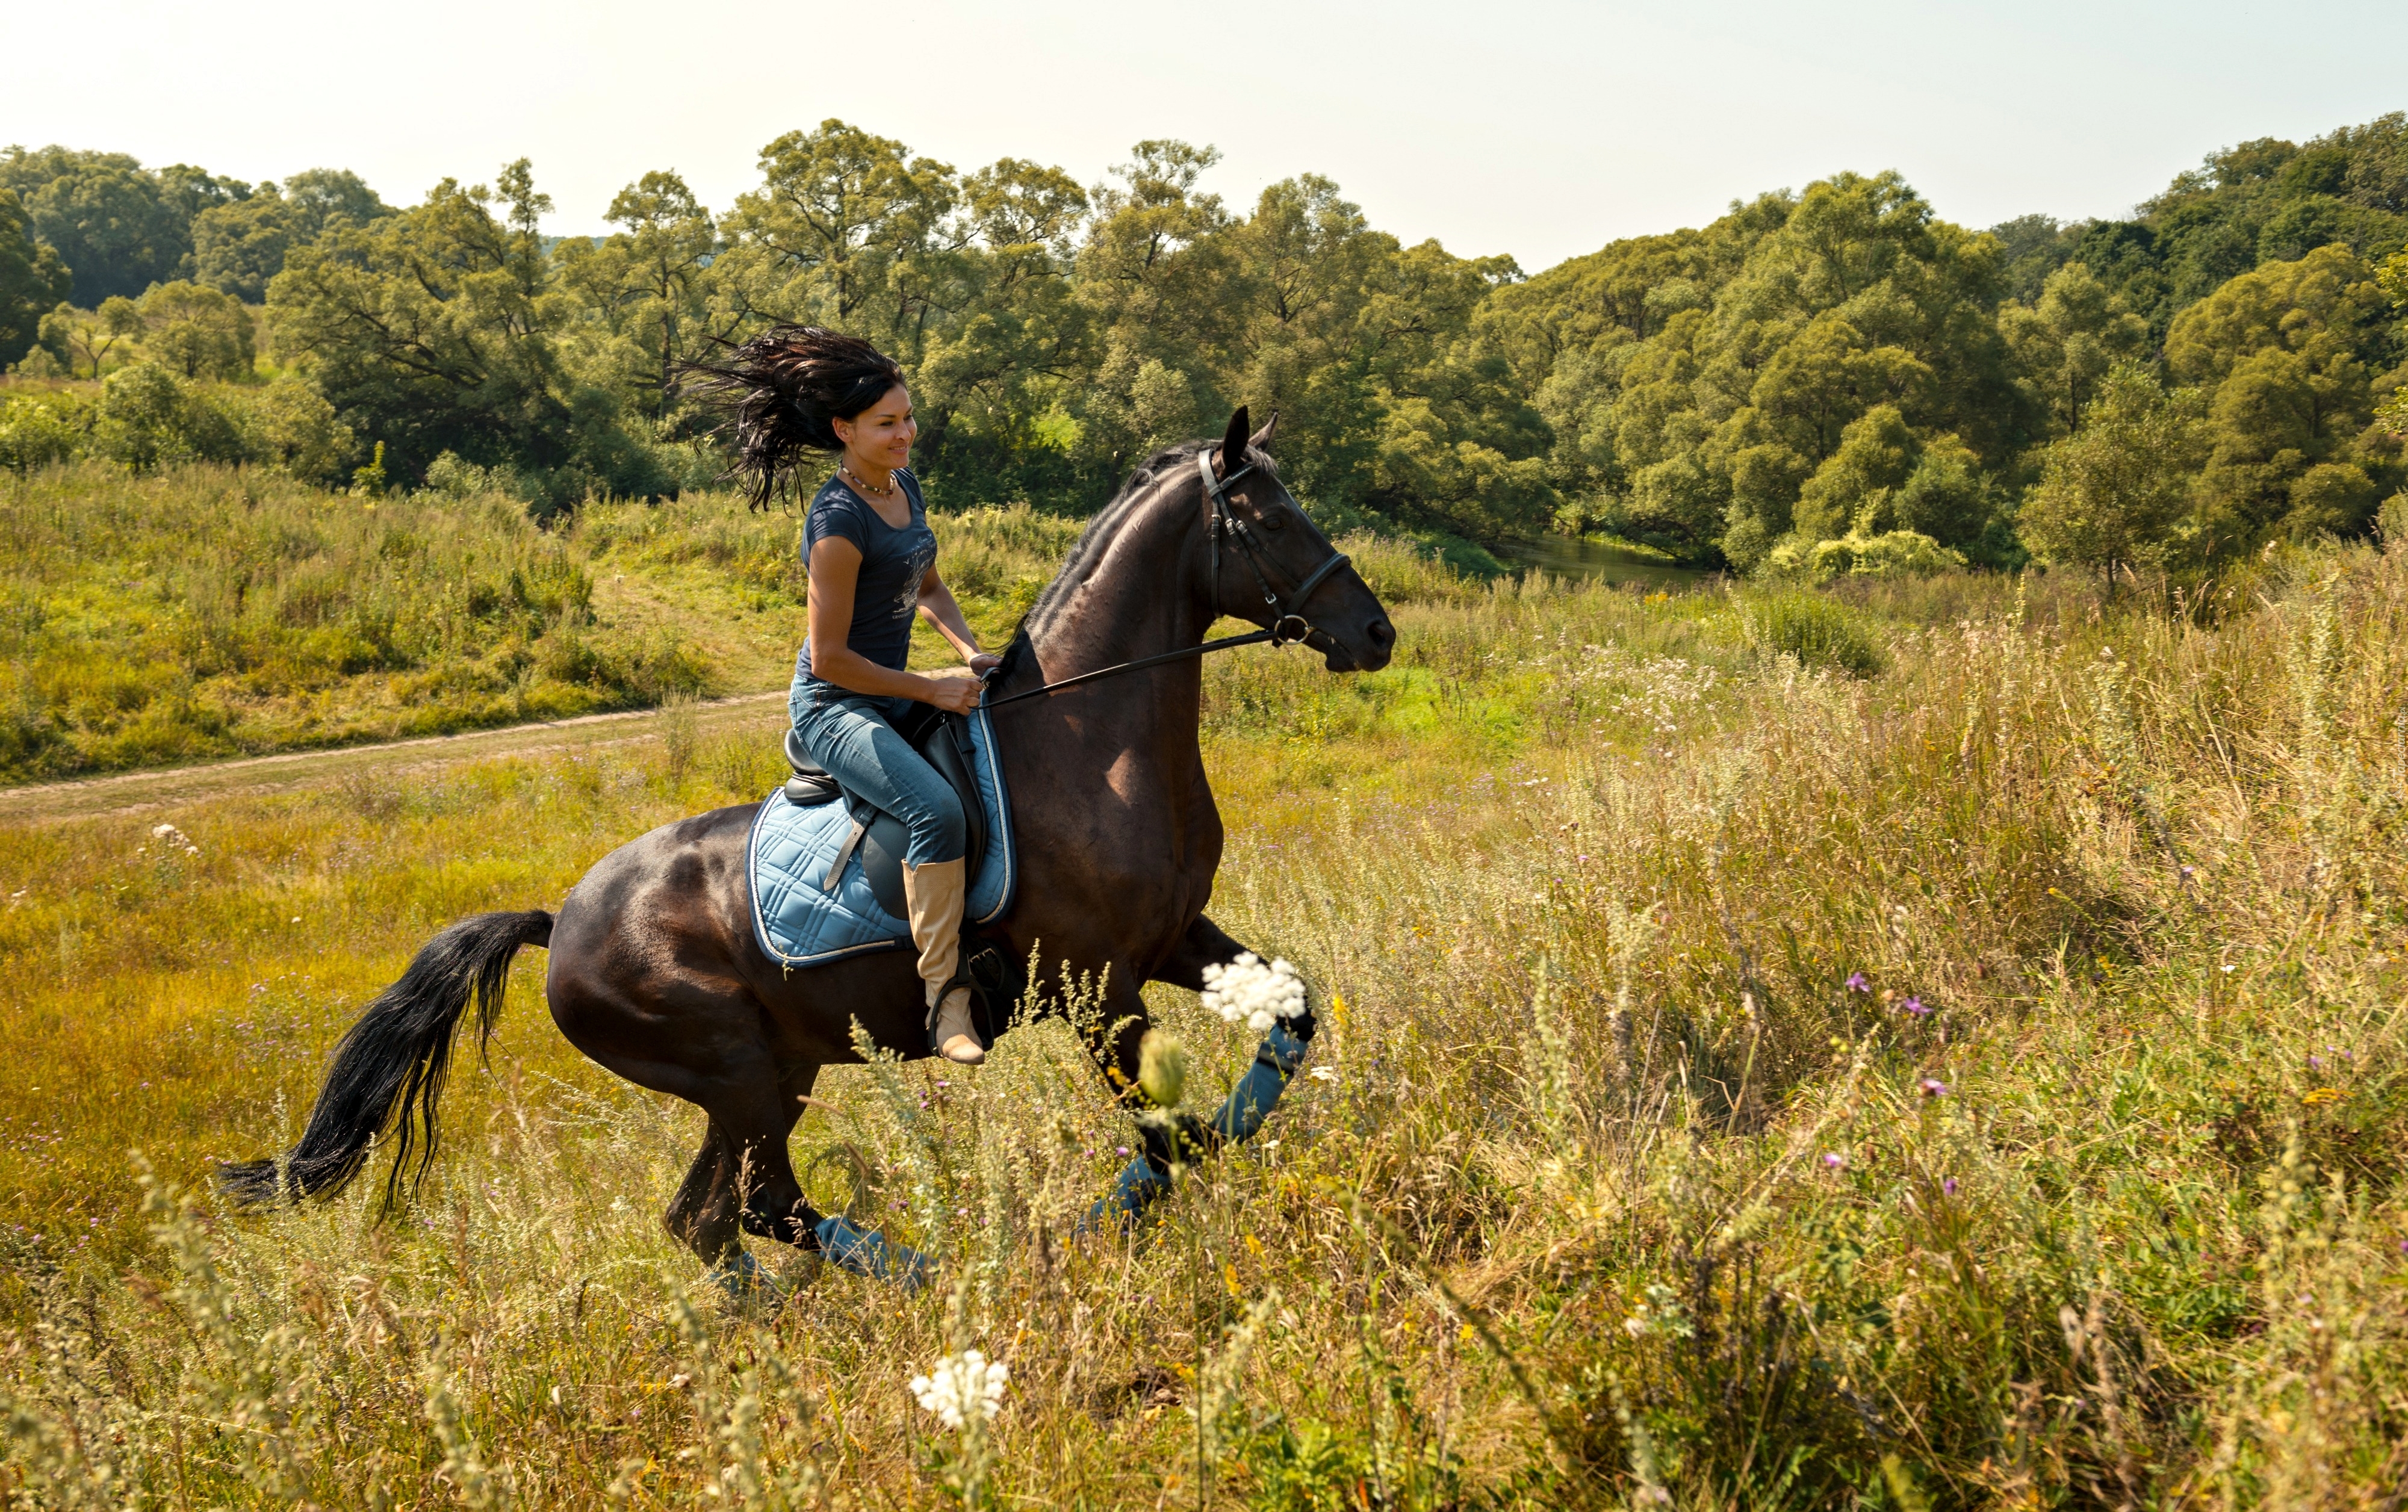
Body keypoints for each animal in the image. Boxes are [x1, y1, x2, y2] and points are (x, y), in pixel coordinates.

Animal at [230, 404, 1397, 1290]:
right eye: (1270, 516)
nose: (1377, 633)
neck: (1088, 732)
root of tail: (559, 926)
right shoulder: (1096, 983)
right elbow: (1162, 1133)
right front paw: (1113, 1218)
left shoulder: (1173, 938)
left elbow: (1291, 1018)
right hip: (740, 1075)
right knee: (746, 1206)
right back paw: (914, 1287)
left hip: (766, 1074)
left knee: (724, 1214)